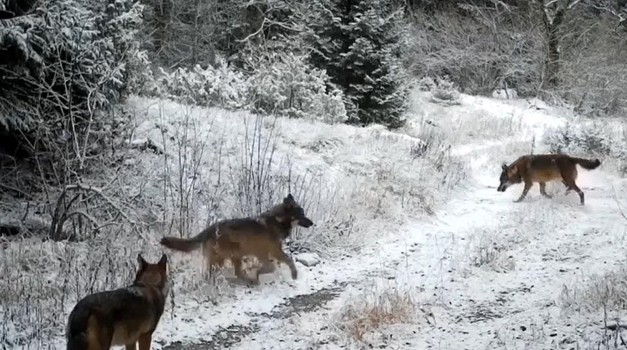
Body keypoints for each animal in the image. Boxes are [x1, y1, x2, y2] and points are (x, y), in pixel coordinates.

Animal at [158, 193, 312, 286]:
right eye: (302, 214)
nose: (312, 223)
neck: (278, 220)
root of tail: (210, 228)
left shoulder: (270, 253)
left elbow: (282, 263)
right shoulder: (270, 252)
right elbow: (278, 265)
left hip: (236, 255)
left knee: (235, 273)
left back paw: (245, 280)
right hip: (227, 256)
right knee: (216, 274)